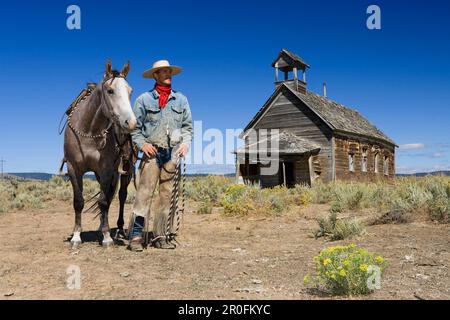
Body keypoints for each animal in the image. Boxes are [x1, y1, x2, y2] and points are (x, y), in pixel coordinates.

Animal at [62, 58, 137, 248]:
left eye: (130, 91)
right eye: (110, 90)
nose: (131, 123)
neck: (89, 130)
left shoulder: (106, 169)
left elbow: (103, 201)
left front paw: (107, 237)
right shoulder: (73, 168)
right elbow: (78, 202)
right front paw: (76, 236)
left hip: (126, 171)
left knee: (120, 196)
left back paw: (118, 228)